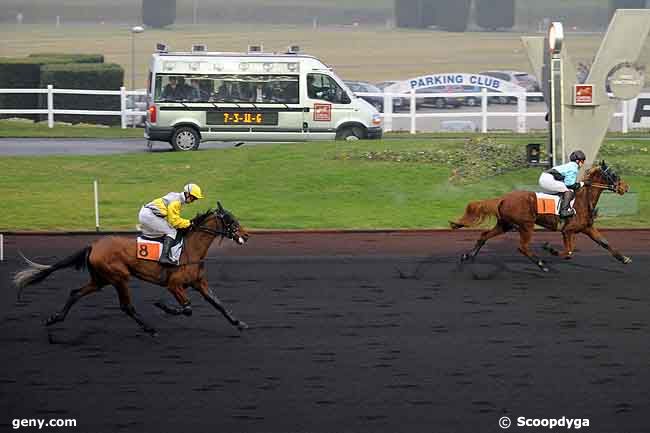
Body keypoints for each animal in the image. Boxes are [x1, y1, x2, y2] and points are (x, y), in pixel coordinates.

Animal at [15, 202, 248, 334]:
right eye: (231, 220)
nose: (245, 235)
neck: (190, 250)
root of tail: (94, 245)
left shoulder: (199, 283)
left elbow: (218, 304)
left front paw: (239, 323)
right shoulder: (174, 285)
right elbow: (188, 308)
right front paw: (163, 306)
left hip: (101, 279)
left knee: (75, 293)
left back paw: (55, 318)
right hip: (119, 277)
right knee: (126, 306)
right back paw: (149, 328)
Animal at [450, 160, 628, 272]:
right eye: (613, 174)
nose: (625, 187)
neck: (583, 200)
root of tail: (503, 198)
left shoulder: (587, 228)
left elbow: (604, 243)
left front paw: (624, 258)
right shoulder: (567, 230)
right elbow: (568, 252)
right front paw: (550, 249)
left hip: (505, 225)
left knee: (484, 235)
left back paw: (468, 255)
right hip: (526, 225)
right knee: (522, 247)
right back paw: (542, 264)